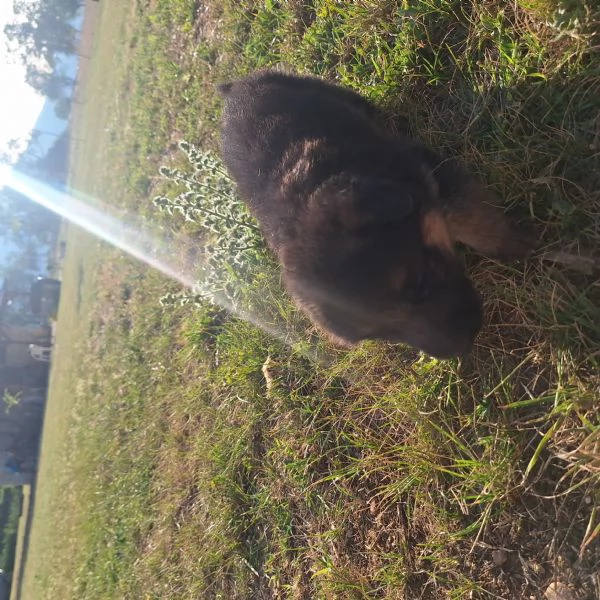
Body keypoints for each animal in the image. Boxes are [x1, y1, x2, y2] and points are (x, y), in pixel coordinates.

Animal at [218, 72, 532, 358]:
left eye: (422, 283)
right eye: (385, 335)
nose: (462, 351)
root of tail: (233, 90)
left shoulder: (432, 174)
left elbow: (475, 219)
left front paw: (515, 246)